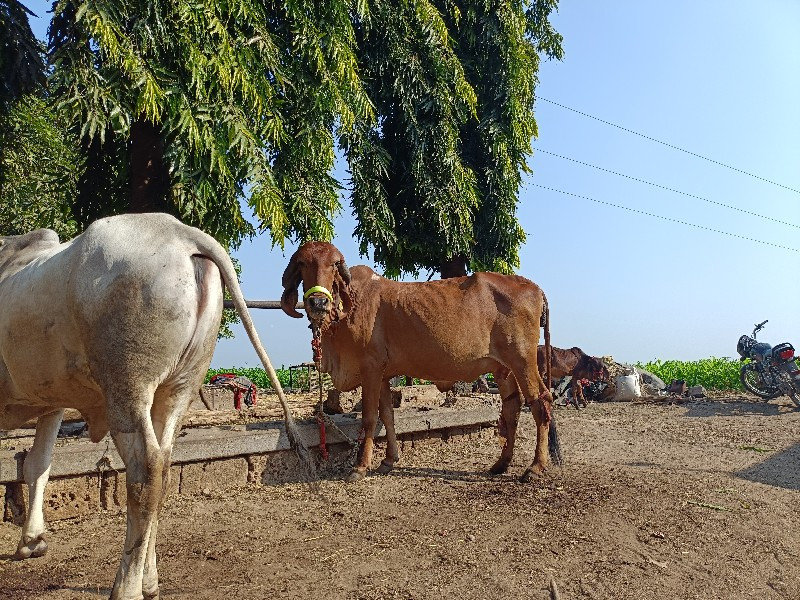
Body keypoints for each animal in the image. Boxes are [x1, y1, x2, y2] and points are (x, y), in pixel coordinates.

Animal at [0, 213, 300, 600]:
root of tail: (181, 232)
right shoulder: (51, 399)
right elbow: (38, 465)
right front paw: (31, 540)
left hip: (128, 384)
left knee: (146, 471)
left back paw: (127, 586)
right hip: (178, 385)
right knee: (165, 465)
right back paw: (149, 579)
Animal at [284, 241, 560, 480]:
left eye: (333, 264)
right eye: (303, 264)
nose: (318, 302)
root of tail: (534, 287)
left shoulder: (370, 368)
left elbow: (370, 417)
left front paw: (360, 466)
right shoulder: (382, 374)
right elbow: (387, 416)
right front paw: (389, 460)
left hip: (523, 360)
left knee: (541, 402)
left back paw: (536, 466)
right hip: (504, 368)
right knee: (512, 408)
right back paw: (501, 463)